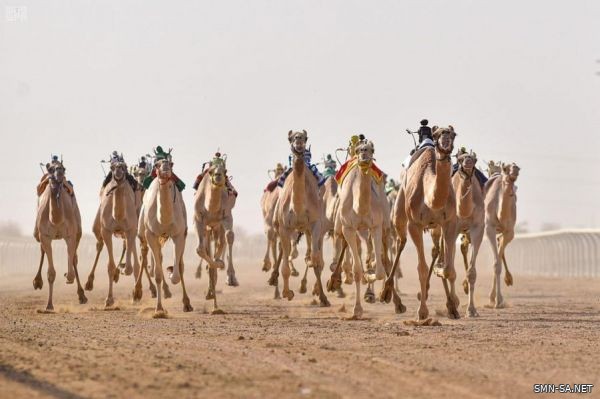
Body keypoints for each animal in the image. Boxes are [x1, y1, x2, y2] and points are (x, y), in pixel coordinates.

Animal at [33, 161, 86, 310]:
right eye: (50, 169)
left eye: (63, 168)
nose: (60, 173)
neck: (55, 219)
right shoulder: (45, 236)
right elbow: (51, 273)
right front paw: (49, 305)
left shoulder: (70, 235)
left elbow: (71, 266)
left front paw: (68, 276)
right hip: (39, 234)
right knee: (42, 251)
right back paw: (37, 281)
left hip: (78, 231)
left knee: (74, 259)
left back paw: (82, 295)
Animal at [135, 158, 192, 318]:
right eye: (157, 164)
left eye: (171, 164)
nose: (165, 167)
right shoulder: (151, 235)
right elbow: (158, 274)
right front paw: (159, 309)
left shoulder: (179, 234)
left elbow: (178, 271)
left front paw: (171, 271)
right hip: (142, 233)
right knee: (144, 256)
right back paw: (137, 292)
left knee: (166, 259)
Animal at [195, 159, 237, 312]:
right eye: (210, 171)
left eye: (225, 170)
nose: (218, 176)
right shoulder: (198, 219)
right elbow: (200, 250)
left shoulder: (226, 216)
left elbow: (230, 236)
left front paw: (231, 278)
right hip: (209, 229)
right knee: (209, 250)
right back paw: (210, 294)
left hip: (218, 227)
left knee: (222, 242)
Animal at [384, 126, 460, 320]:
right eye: (437, 134)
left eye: (453, 134)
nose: (445, 142)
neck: (431, 198)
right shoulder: (415, 225)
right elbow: (422, 269)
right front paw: (422, 312)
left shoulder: (449, 222)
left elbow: (449, 269)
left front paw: (453, 307)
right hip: (399, 210)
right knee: (400, 242)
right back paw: (390, 296)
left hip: (436, 227)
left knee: (436, 250)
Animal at [482, 161, 520, 308]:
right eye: (505, 168)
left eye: (517, 167)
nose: (515, 170)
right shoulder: (489, 229)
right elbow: (496, 263)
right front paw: (496, 299)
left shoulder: (509, 232)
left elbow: (497, 263)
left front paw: (497, 299)